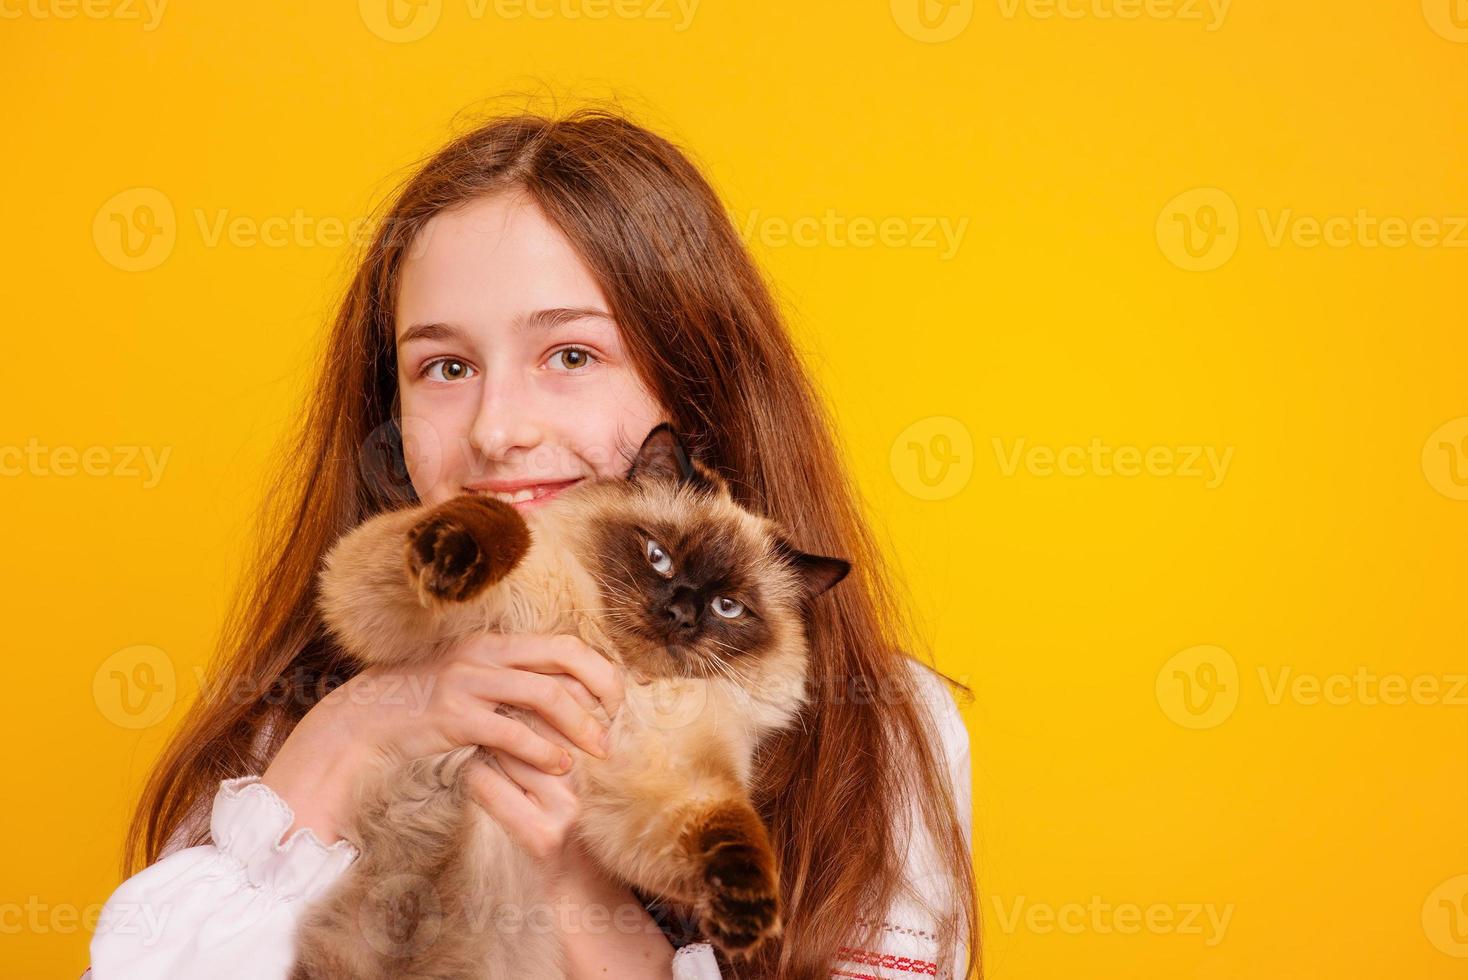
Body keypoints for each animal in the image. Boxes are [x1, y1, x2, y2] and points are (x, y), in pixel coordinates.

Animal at [289, 425, 851, 979]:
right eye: (659, 558)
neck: (619, 664)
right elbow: (502, 524)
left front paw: (744, 908)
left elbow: (731, 829)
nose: (681, 615)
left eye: (727, 607)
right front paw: (460, 550)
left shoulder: (673, 780)